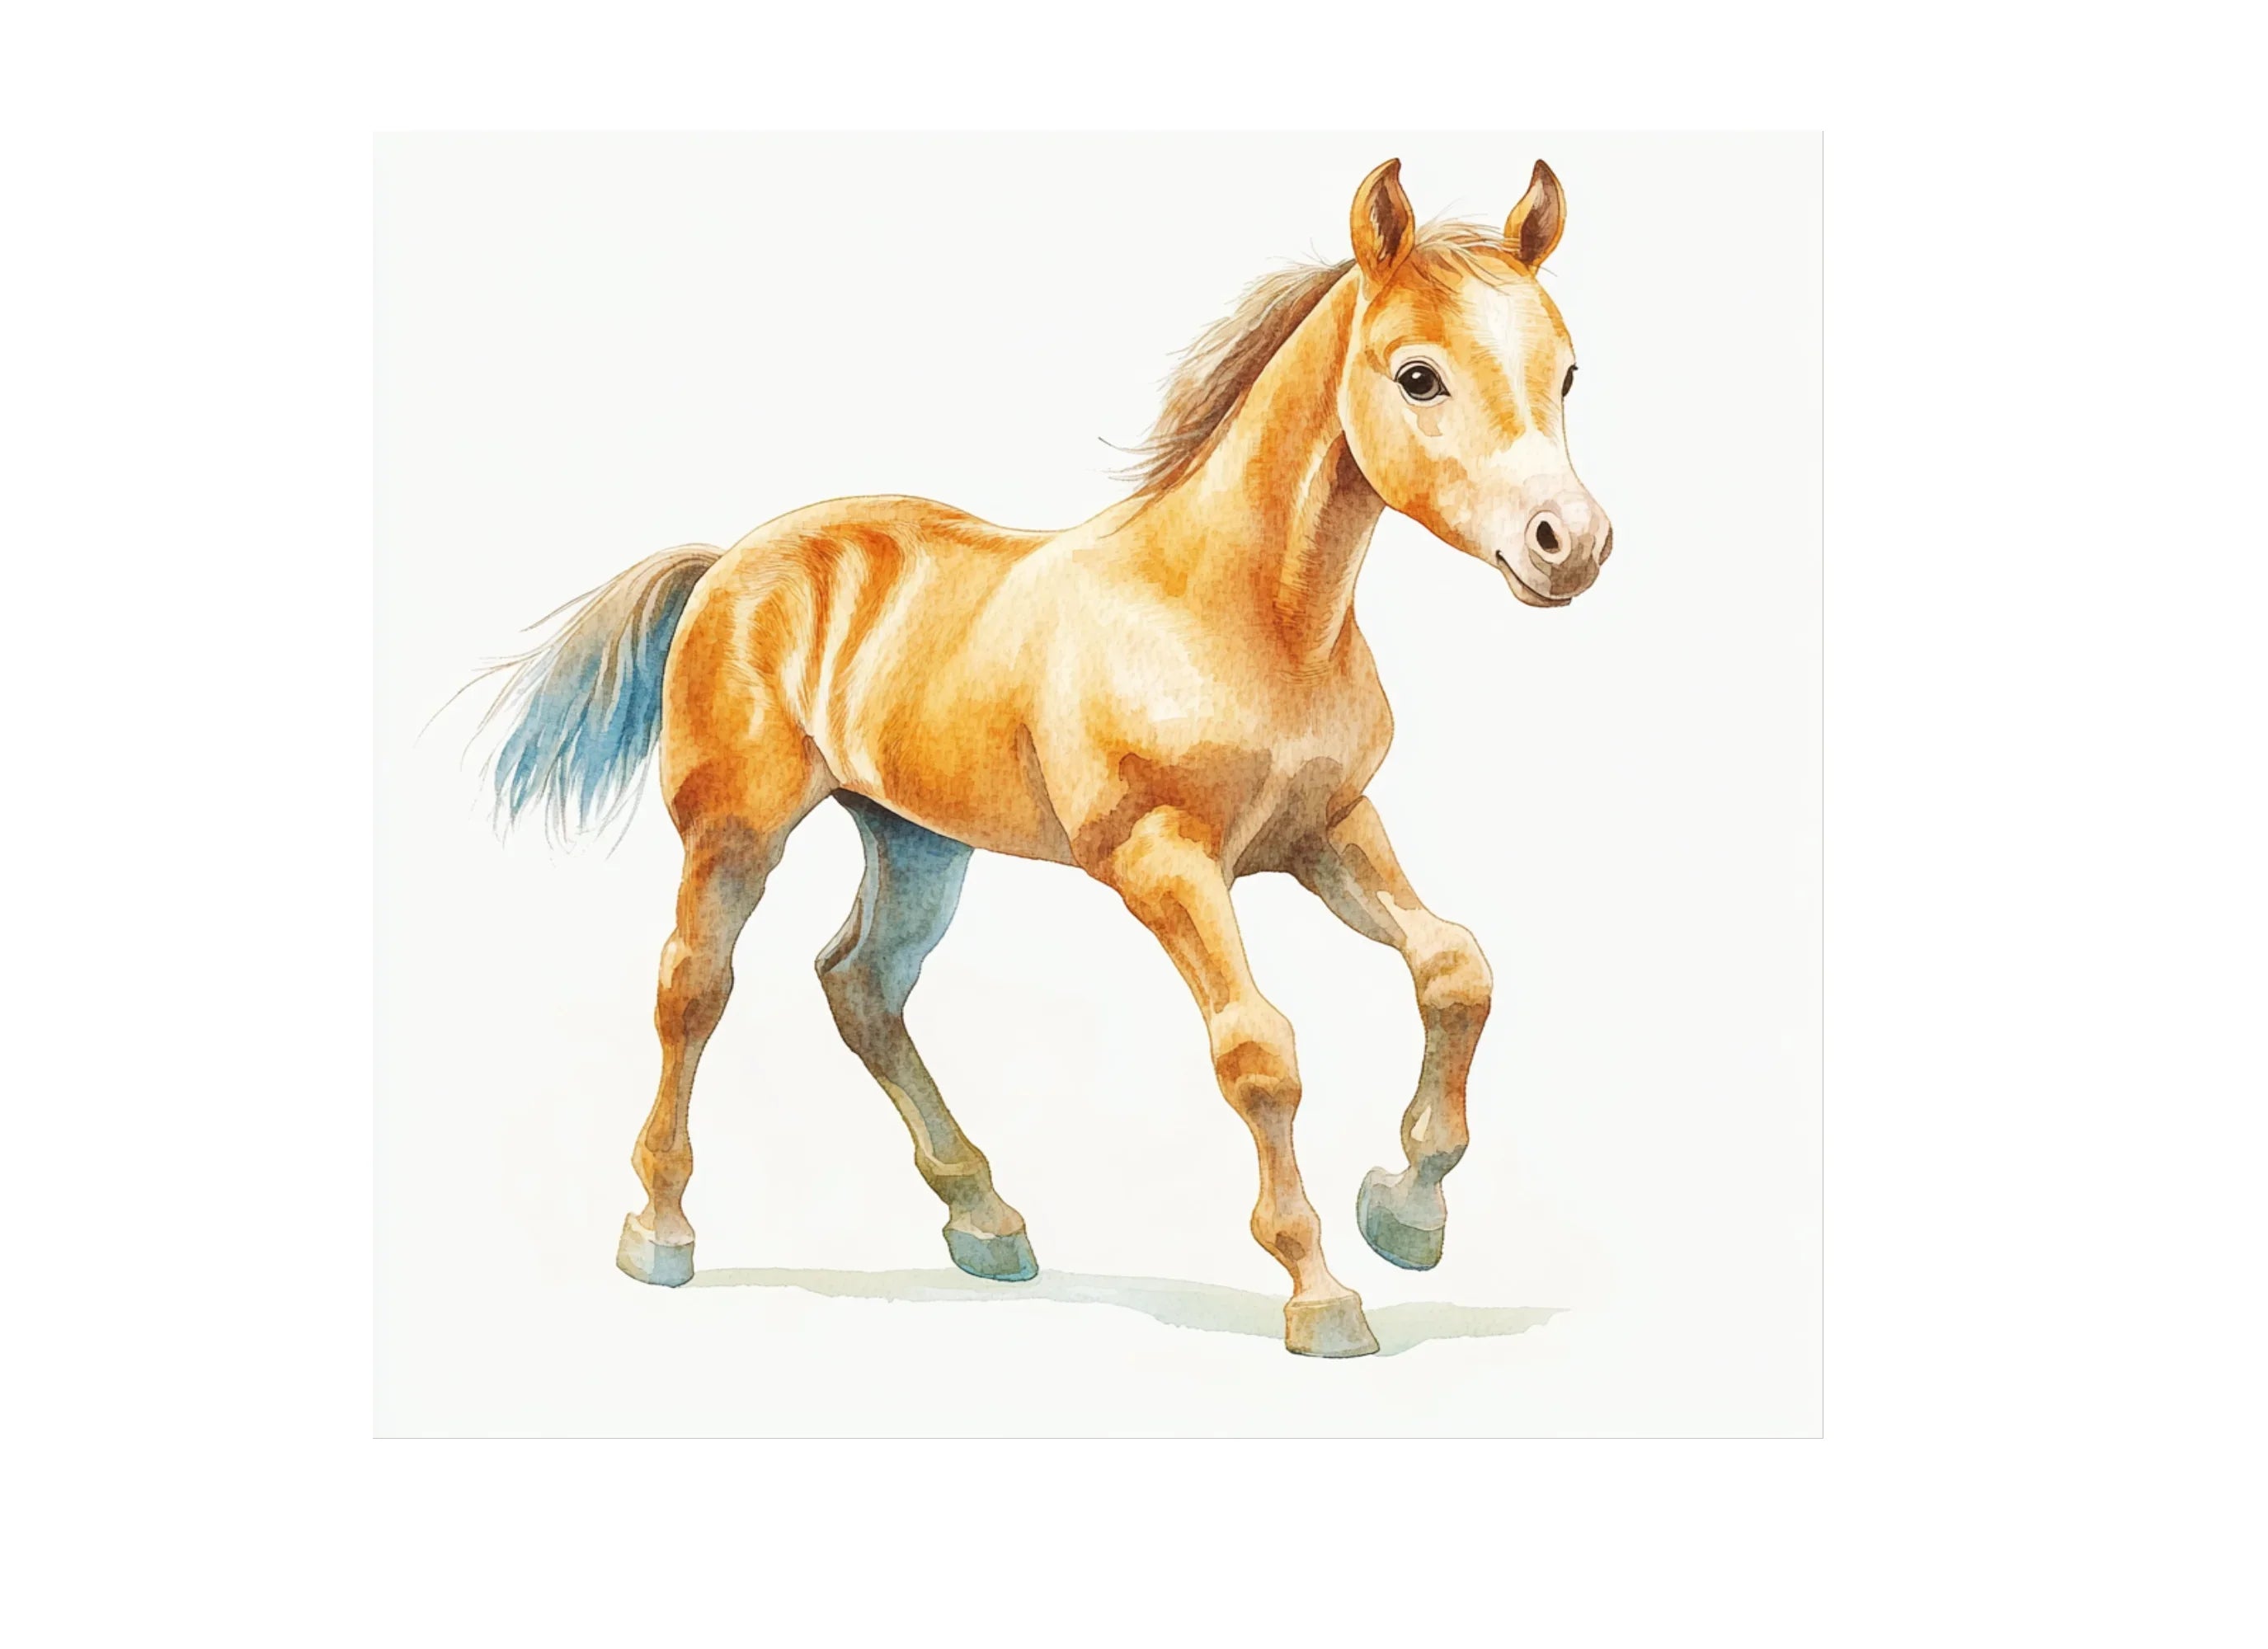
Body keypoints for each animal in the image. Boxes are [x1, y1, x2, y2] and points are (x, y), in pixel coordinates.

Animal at [477, 157, 1612, 1357]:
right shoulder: (1161, 859)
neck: (1240, 613)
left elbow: (1454, 968)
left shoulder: (1327, 829)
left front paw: (1404, 1214)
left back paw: (984, 1216)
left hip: (918, 842)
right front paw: (1321, 1294)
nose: (1568, 544)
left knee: (860, 984)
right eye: (1417, 376)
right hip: (735, 831)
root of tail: (731, 560)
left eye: (1566, 373)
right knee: (693, 985)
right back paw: (660, 1230)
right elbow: (1257, 1049)